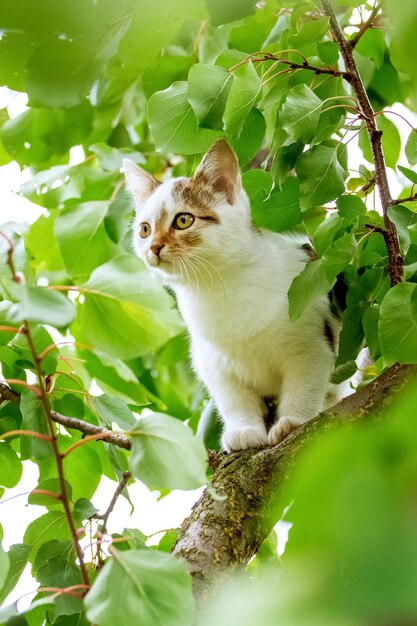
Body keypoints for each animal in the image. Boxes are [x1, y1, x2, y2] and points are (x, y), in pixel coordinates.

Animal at [124, 140, 338, 448]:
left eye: (184, 220)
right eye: (144, 229)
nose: (153, 247)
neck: (219, 286)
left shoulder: (311, 342)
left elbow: (303, 387)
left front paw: (293, 422)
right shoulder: (212, 363)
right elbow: (234, 400)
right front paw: (244, 430)